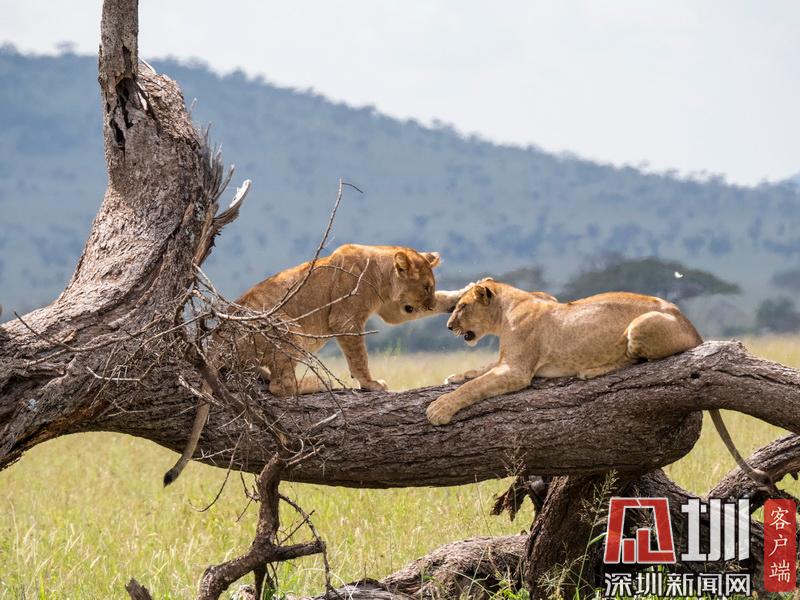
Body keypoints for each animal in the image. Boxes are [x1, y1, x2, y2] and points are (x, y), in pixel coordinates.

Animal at [164, 244, 466, 485]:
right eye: (426, 286)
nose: (428, 304)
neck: (379, 272)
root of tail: (217, 338)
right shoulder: (346, 320)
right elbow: (358, 356)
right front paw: (370, 384)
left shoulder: (392, 309)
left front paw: (460, 297)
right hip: (286, 325)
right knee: (281, 386)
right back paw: (316, 383)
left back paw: (262, 373)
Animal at [428, 278, 772, 488]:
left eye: (462, 307)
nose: (448, 326)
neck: (505, 312)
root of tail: (690, 323)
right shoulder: (506, 363)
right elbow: (477, 372)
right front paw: (454, 376)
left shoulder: (518, 371)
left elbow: (475, 386)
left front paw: (438, 409)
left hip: (639, 326)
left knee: (637, 360)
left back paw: (591, 372)